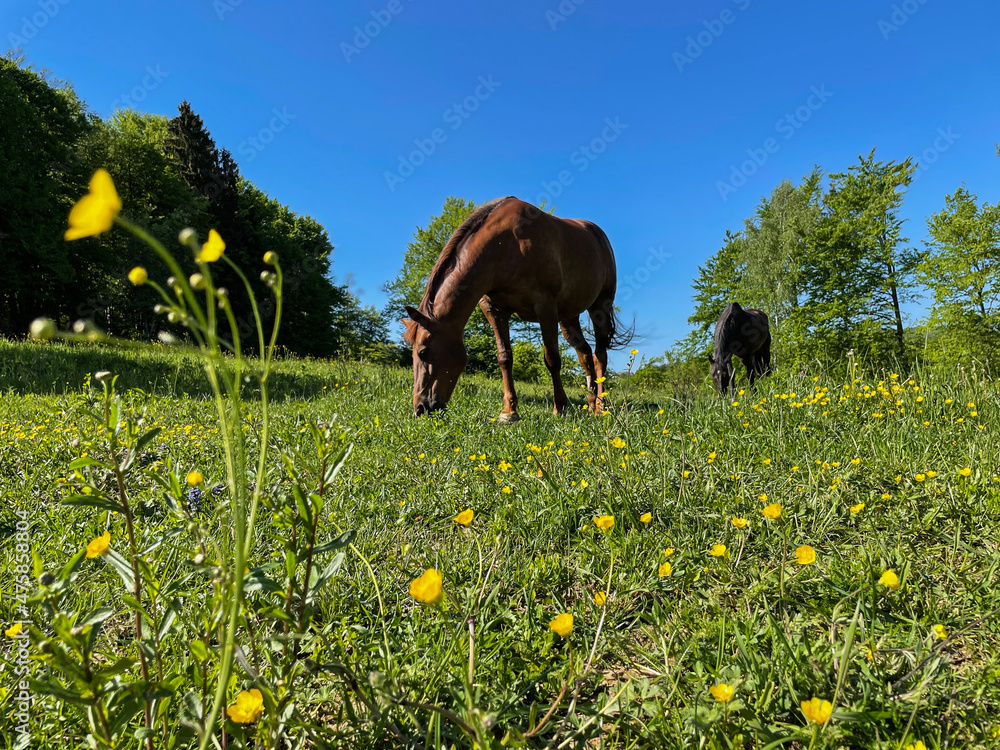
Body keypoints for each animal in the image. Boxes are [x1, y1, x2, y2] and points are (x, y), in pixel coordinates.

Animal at [402, 198, 628, 424]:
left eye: (423, 352)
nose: (420, 408)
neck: (505, 245)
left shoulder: (545, 307)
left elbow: (552, 359)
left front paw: (560, 408)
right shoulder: (495, 311)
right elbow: (504, 358)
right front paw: (509, 411)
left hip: (601, 304)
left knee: (599, 355)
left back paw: (601, 407)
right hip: (568, 317)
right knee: (585, 354)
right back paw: (590, 405)